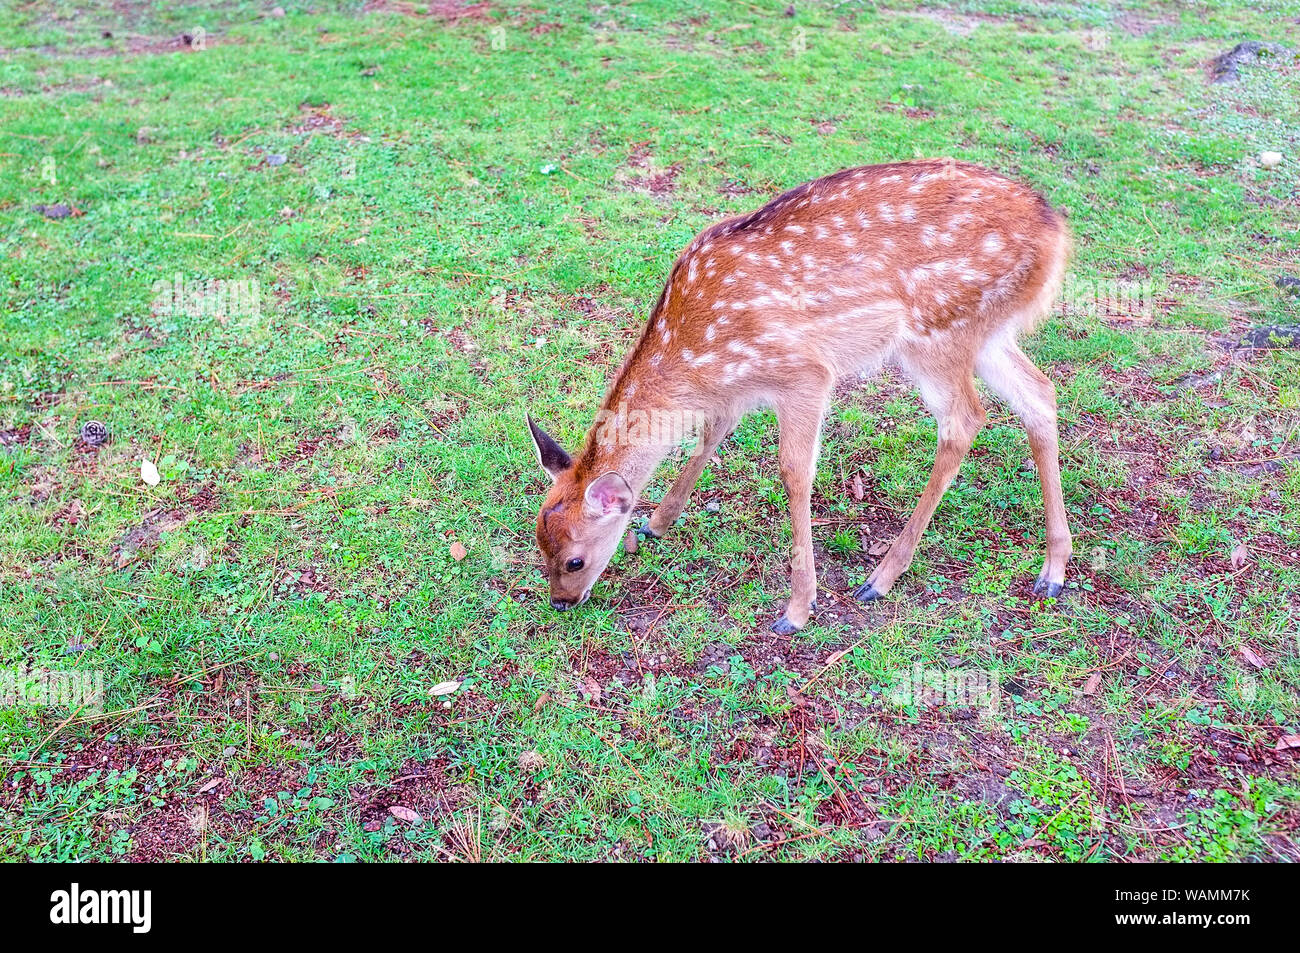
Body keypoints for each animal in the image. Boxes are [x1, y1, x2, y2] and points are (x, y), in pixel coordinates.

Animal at [527, 158, 1072, 635]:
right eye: (539, 545)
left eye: (574, 559)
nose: (560, 601)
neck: (698, 357)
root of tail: (1057, 234)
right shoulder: (738, 388)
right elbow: (711, 434)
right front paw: (657, 522)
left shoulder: (804, 373)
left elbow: (794, 473)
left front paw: (797, 609)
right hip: (987, 333)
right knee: (1039, 394)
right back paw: (1053, 570)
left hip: (938, 331)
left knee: (965, 420)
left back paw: (880, 578)